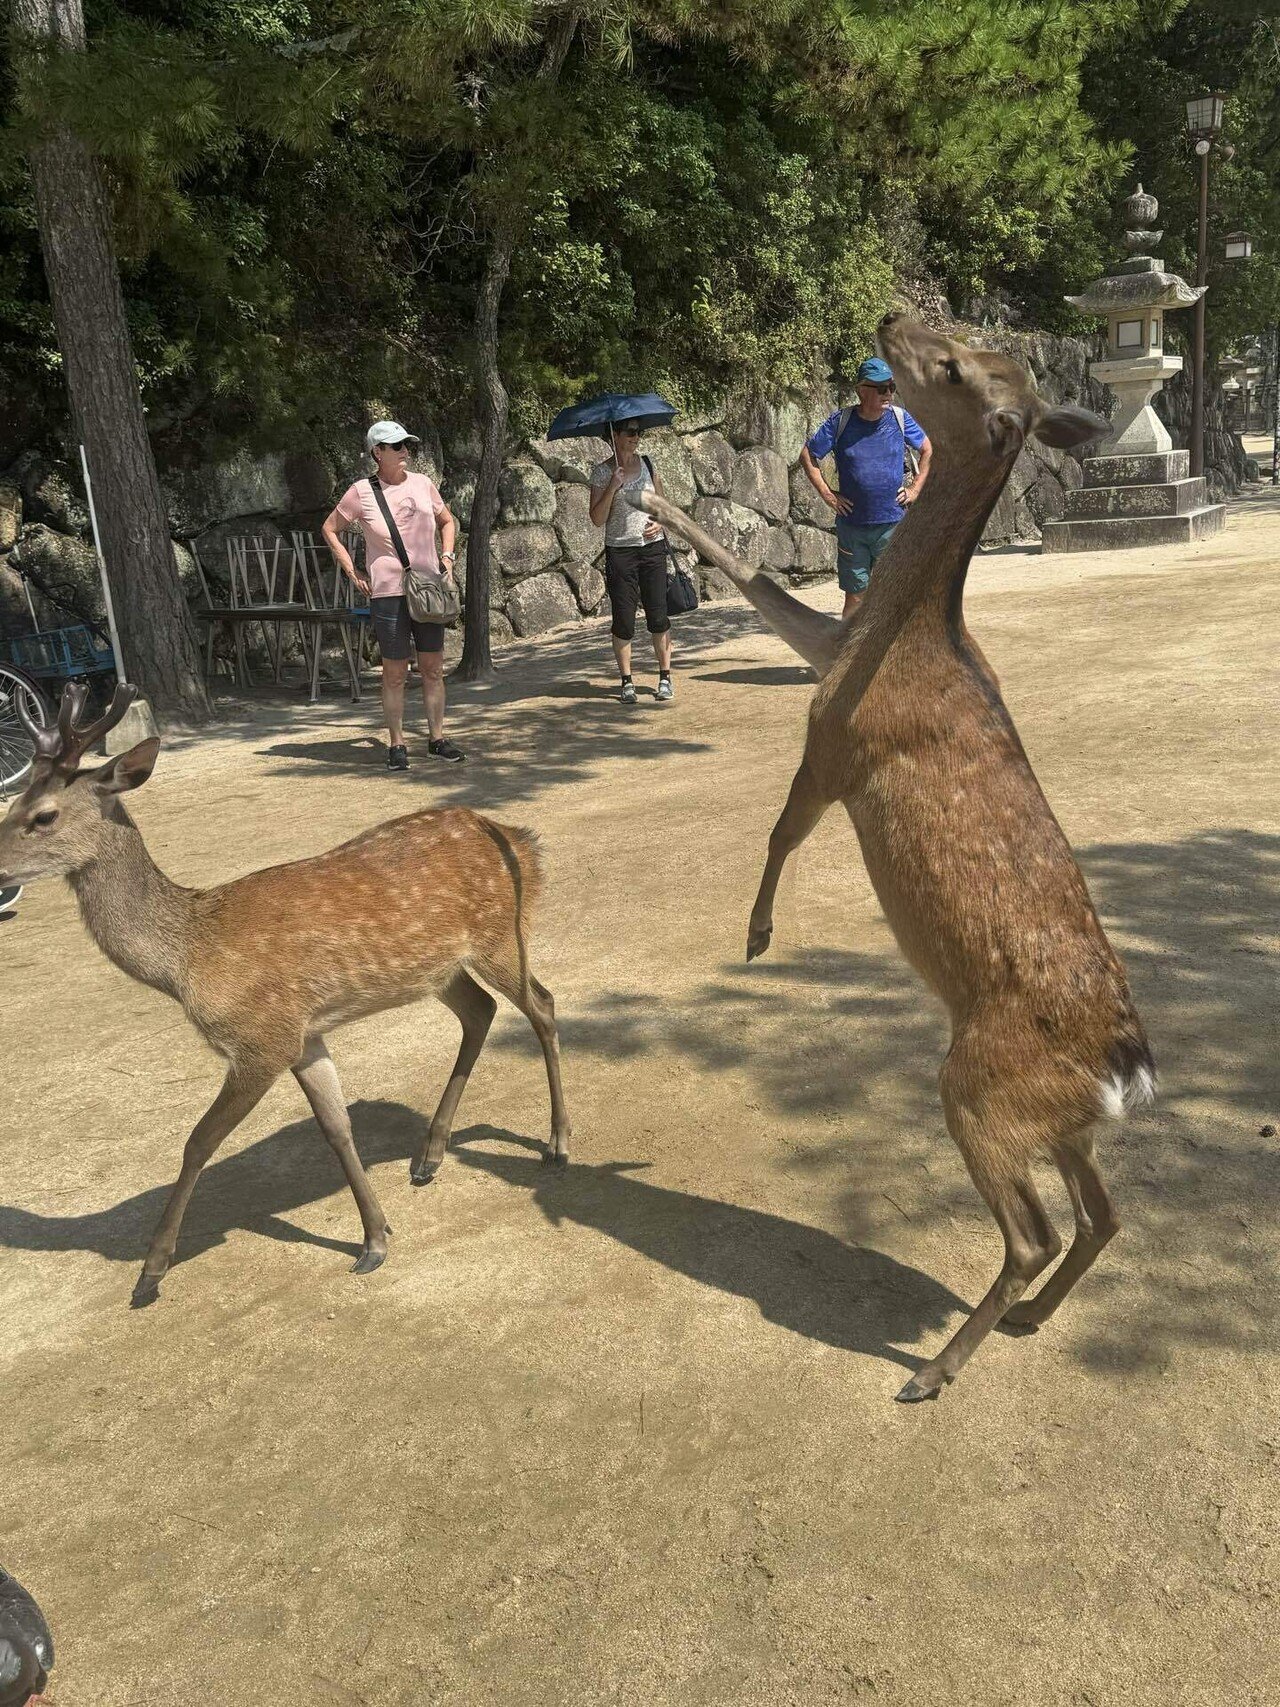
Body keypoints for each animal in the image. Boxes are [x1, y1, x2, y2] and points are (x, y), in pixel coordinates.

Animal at [0, 684, 571, 1307]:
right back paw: (429, 1157)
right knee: (480, 1010)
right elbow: (336, 1129)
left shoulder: (261, 1040)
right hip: (440, 971)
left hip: (500, 936)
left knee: (542, 1005)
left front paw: (150, 1275)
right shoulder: (305, 1035)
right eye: (10, 806)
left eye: (43, 815)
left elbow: (197, 1142)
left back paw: (557, 1144)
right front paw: (376, 1240)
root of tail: (521, 840)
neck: (189, 959)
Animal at [633, 313, 1155, 1401]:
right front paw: (645, 496)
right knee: (1102, 1214)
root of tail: (1124, 1070)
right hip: (1062, 1120)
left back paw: (932, 1370)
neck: (899, 635)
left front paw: (755, 935)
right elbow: (757, 586)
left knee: (1036, 1232)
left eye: (951, 367)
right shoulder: (827, 652)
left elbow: (779, 830)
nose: (888, 323)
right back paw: (1026, 1323)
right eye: (971, 338)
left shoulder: (834, 739)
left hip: (978, 1090)